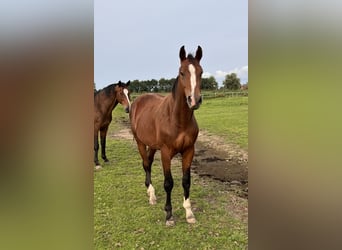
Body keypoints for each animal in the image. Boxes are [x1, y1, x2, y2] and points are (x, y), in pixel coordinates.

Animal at [130, 46, 202, 226]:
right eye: (182, 72)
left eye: (201, 72)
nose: (194, 100)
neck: (178, 120)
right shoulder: (166, 153)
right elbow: (169, 183)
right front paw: (169, 215)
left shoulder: (189, 151)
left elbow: (186, 181)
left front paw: (189, 213)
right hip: (141, 143)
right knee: (145, 164)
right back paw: (151, 195)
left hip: (152, 146)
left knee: (148, 163)